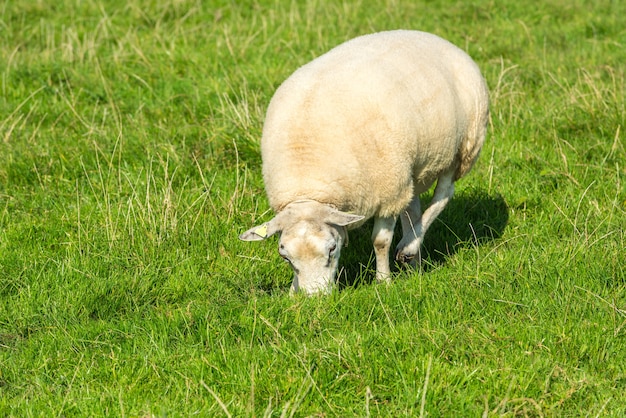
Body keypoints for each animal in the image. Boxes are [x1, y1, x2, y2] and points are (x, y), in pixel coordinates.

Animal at [239, 29, 488, 296]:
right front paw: (293, 291)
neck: (308, 184)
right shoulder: (395, 182)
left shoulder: (388, 191)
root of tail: (431, 36)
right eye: (285, 257)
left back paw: (408, 247)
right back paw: (414, 262)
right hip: (410, 169)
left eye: (332, 249)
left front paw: (383, 281)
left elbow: (380, 241)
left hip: (461, 147)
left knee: (443, 194)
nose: (315, 299)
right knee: (412, 208)